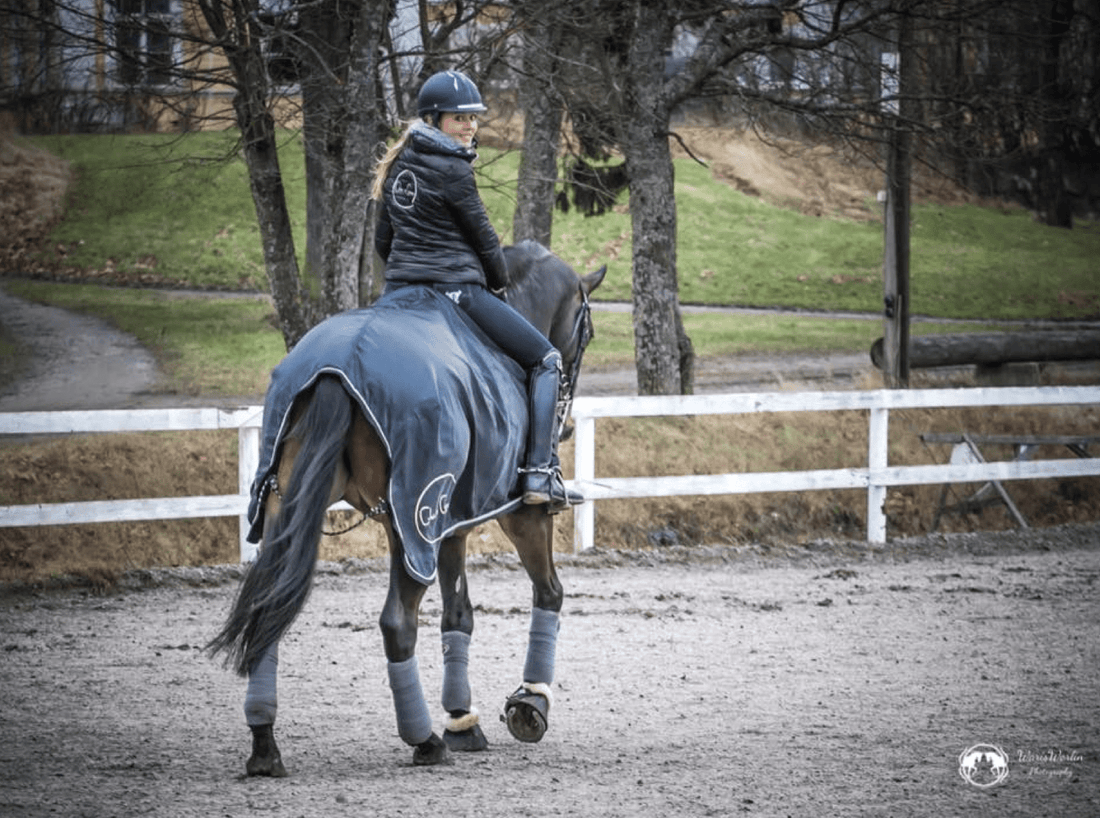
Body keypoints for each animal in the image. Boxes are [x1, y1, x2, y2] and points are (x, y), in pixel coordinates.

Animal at [205, 239, 602, 769]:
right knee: (398, 622)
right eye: (586, 330)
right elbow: (550, 592)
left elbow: (459, 615)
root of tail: (340, 366)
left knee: (269, 602)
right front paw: (530, 701)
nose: (568, 426)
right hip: (416, 516)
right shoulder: (519, 514)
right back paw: (424, 740)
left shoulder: (453, 521)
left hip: (304, 510)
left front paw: (462, 719)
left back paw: (265, 745)